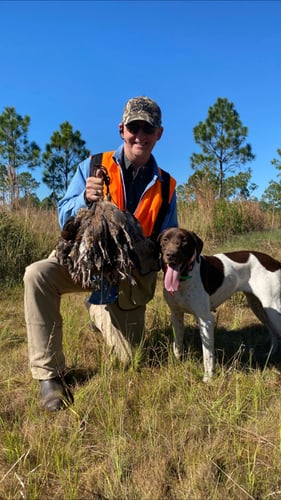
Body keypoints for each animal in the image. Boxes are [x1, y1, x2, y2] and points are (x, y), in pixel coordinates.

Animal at [159, 227, 280, 378]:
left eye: (184, 241)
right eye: (165, 239)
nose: (171, 255)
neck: (183, 278)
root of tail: (275, 262)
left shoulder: (205, 320)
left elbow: (208, 355)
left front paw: (208, 377)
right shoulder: (176, 315)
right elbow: (178, 344)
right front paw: (177, 363)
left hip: (272, 309)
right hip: (259, 307)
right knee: (273, 332)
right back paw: (269, 354)